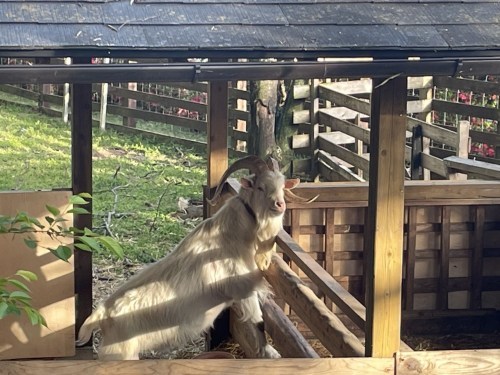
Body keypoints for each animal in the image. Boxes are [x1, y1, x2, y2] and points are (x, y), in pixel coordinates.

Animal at [75, 155, 298, 362]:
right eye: (260, 187)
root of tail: (100, 315)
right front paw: (271, 352)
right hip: (121, 353)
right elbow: (257, 321)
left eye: (282, 186)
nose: (280, 205)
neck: (234, 234)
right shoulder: (243, 288)